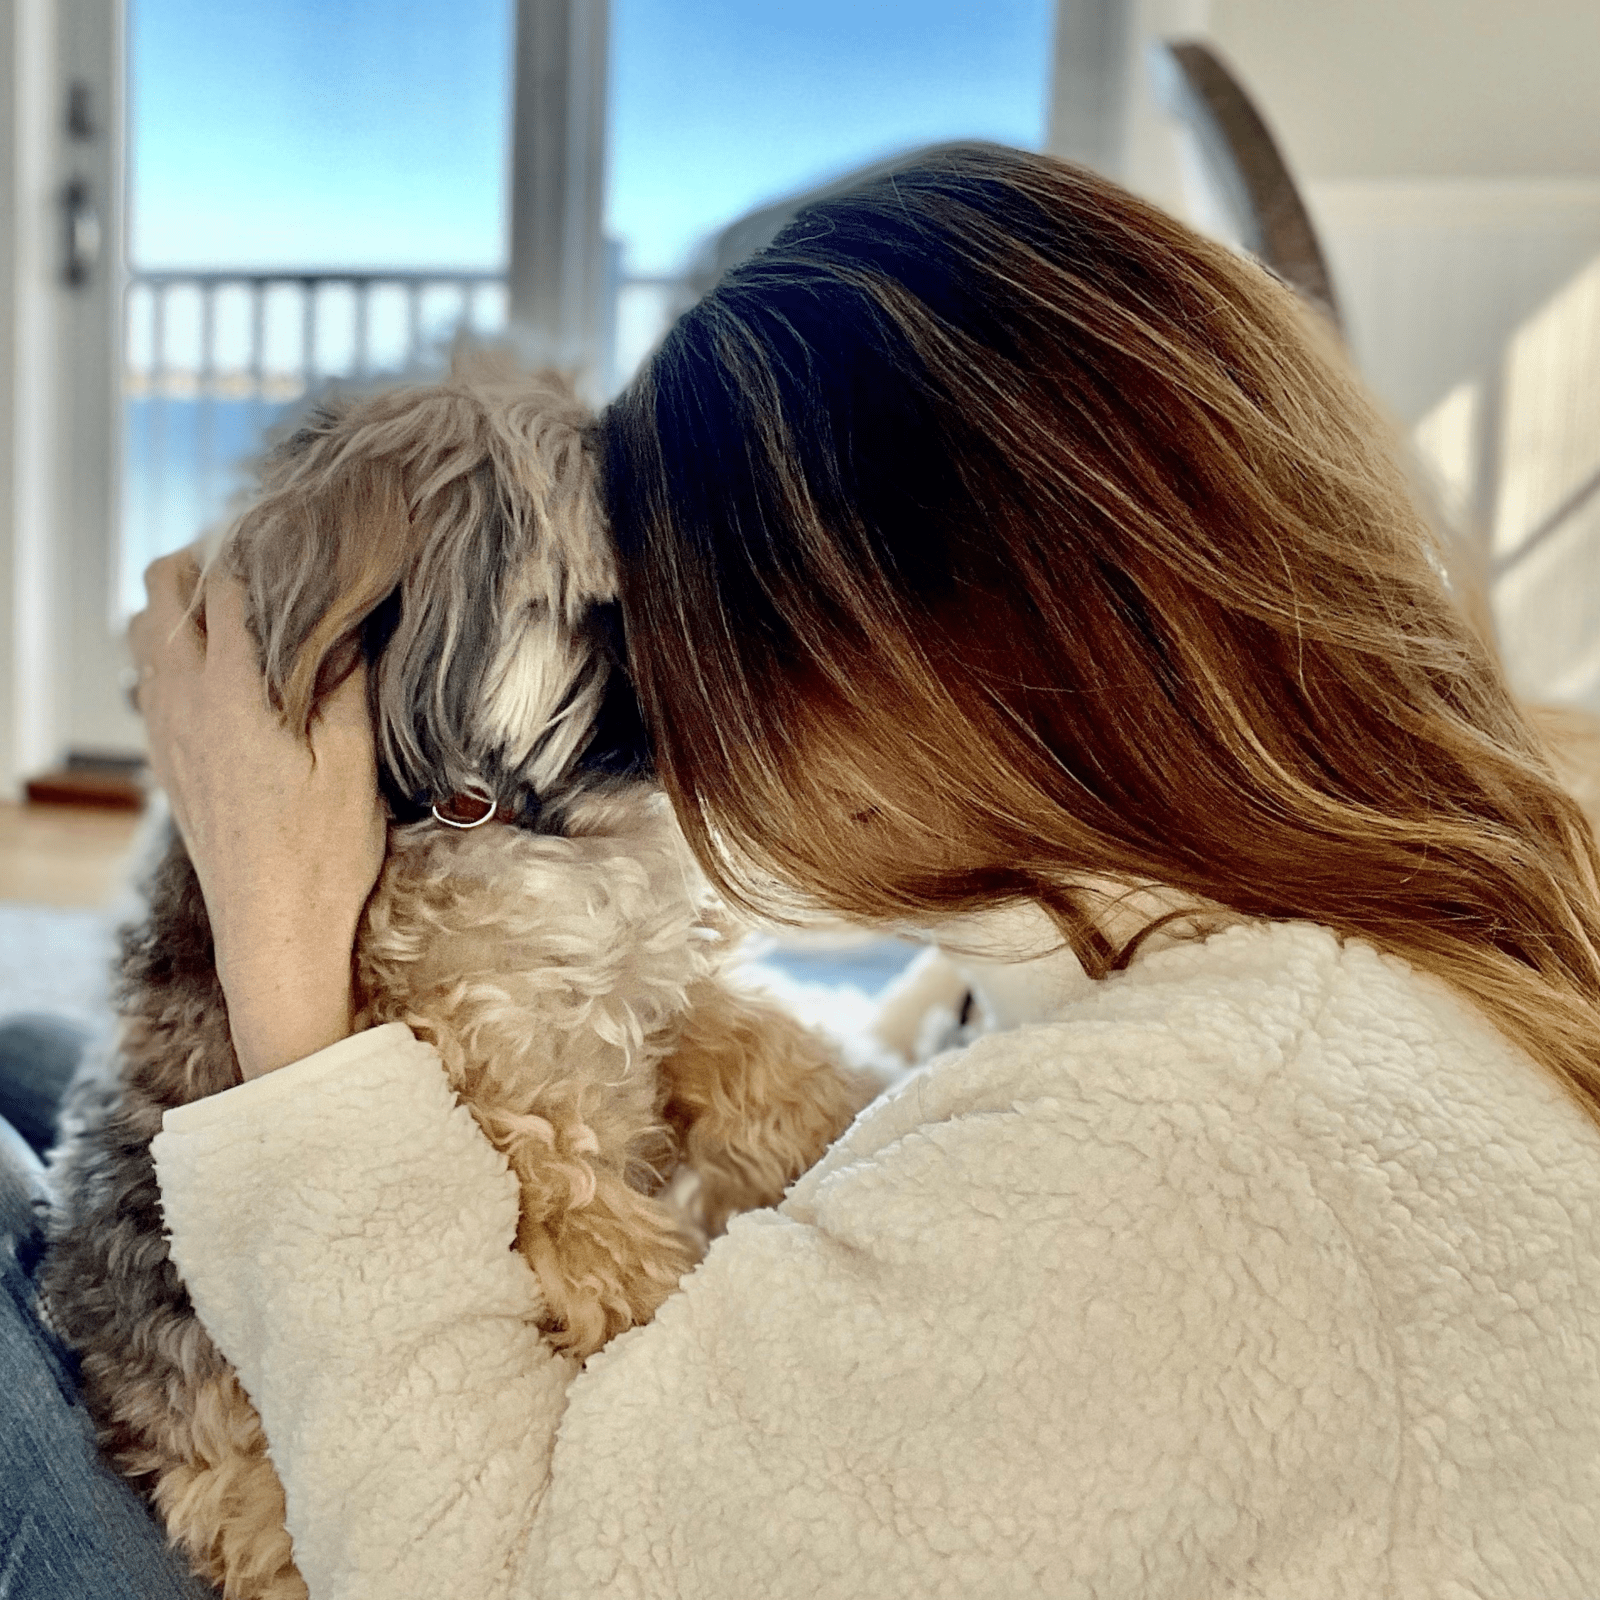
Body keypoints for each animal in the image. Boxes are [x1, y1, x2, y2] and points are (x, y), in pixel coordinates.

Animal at [37, 363, 883, 1600]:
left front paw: (846, 1110)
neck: (506, 819)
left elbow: (748, 1047)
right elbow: (611, 1253)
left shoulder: (639, 992)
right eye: (615, 590)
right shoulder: (518, 1109)